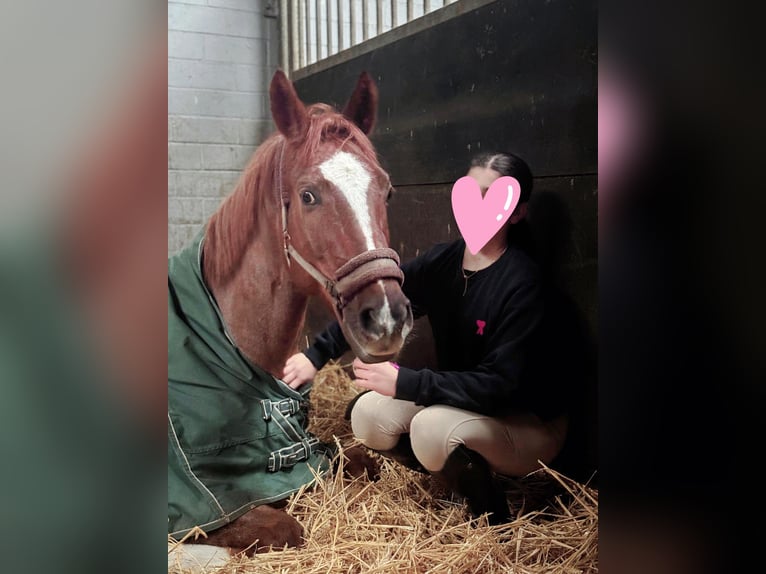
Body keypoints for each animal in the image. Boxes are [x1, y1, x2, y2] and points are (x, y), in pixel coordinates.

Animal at [168, 70, 413, 566]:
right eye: (308, 195)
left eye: (387, 190)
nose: (386, 317)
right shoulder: (198, 505)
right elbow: (283, 527)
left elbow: (363, 463)